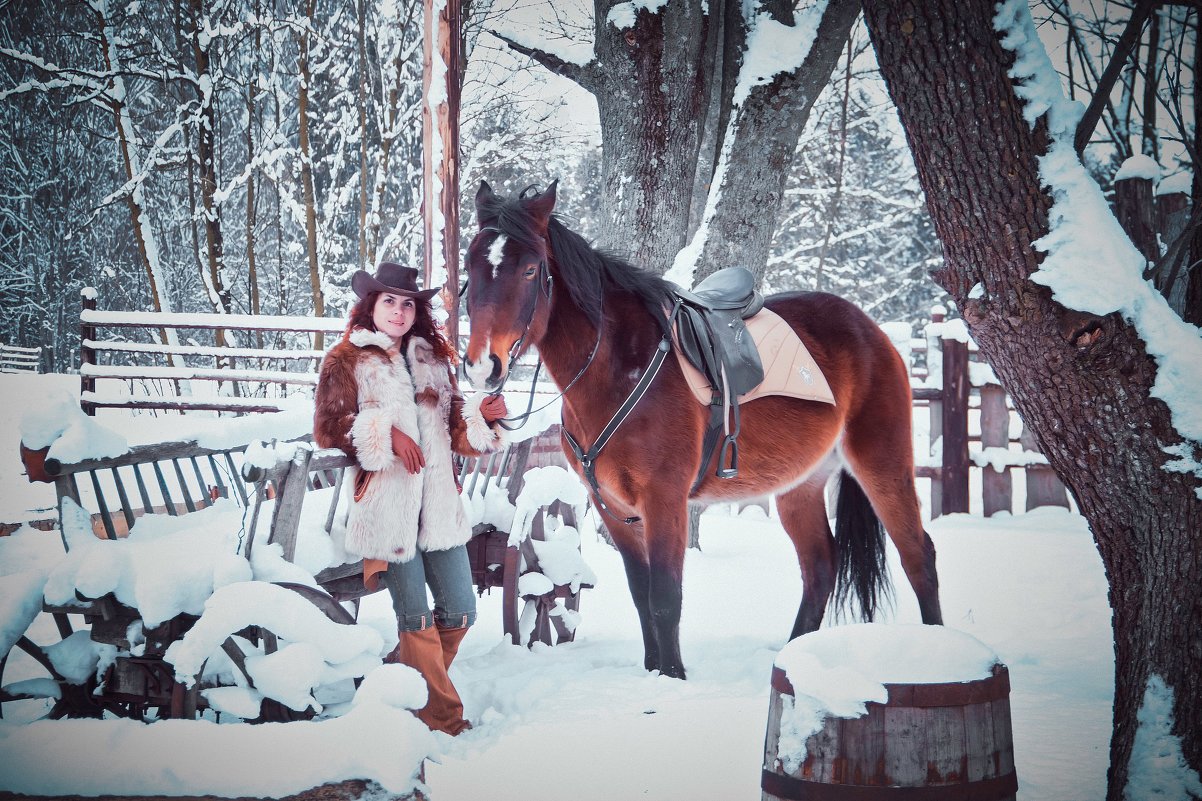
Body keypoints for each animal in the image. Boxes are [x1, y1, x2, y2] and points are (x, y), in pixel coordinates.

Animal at [459, 179, 937, 673]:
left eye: (531, 269)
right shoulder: (613, 507)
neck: (617, 369)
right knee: (821, 566)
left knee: (918, 555)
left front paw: (671, 677)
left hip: (883, 465)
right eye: (470, 262)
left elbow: (666, 599)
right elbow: (641, 595)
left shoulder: (664, 499)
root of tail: (870, 329)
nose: (483, 366)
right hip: (800, 485)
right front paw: (654, 670)